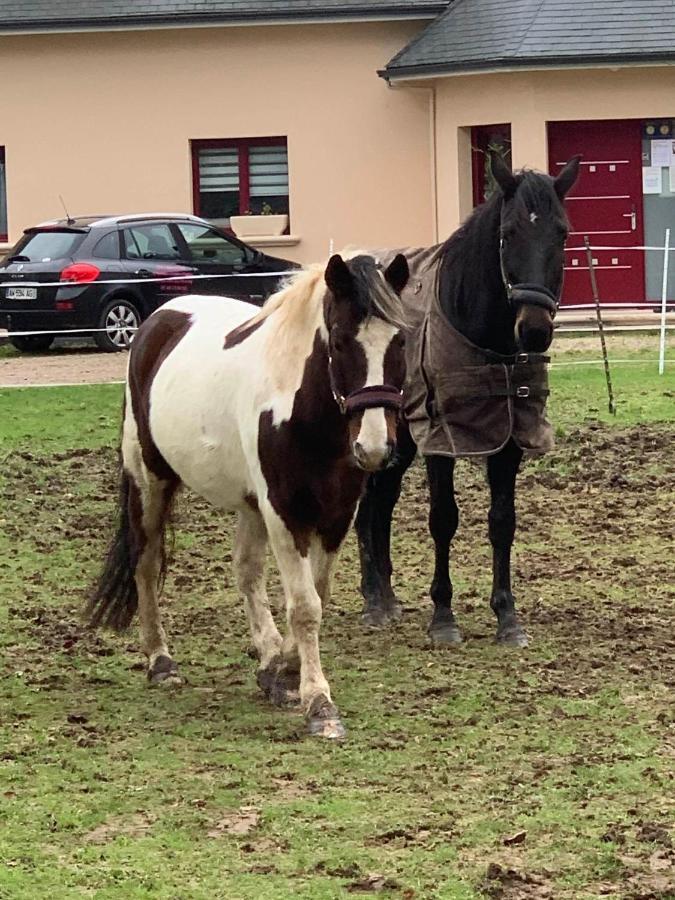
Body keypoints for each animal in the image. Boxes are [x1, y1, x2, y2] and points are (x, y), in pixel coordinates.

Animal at [87, 253, 410, 740]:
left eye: (400, 339)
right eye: (338, 340)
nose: (373, 448)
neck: (301, 410)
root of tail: (158, 321)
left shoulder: (336, 515)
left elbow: (317, 593)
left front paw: (284, 671)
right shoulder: (284, 512)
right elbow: (305, 606)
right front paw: (319, 703)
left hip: (248, 504)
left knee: (246, 570)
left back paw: (266, 657)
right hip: (149, 481)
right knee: (145, 563)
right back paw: (161, 661)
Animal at [356, 153, 584, 648]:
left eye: (562, 233)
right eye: (508, 233)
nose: (535, 330)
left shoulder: (509, 438)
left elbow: (502, 521)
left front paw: (507, 617)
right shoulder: (441, 440)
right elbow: (443, 518)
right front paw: (443, 617)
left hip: (399, 442)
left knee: (381, 506)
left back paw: (387, 597)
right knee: (366, 509)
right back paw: (372, 602)